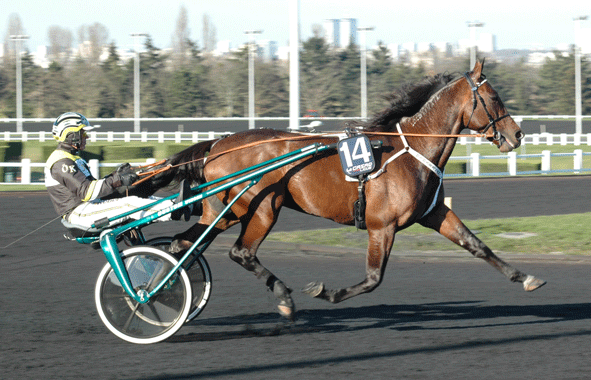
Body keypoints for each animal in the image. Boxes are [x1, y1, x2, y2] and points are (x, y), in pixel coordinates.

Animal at [139, 60, 544, 320]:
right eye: (494, 98)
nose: (517, 134)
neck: (411, 148)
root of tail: (218, 144)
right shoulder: (382, 225)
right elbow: (373, 278)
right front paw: (327, 292)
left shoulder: (433, 213)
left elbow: (477, 245)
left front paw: (526, 278)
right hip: (260, 207)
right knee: (237, 251)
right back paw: (280, 298)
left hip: (231, 211)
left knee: (187, 245)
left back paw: (157, 291)